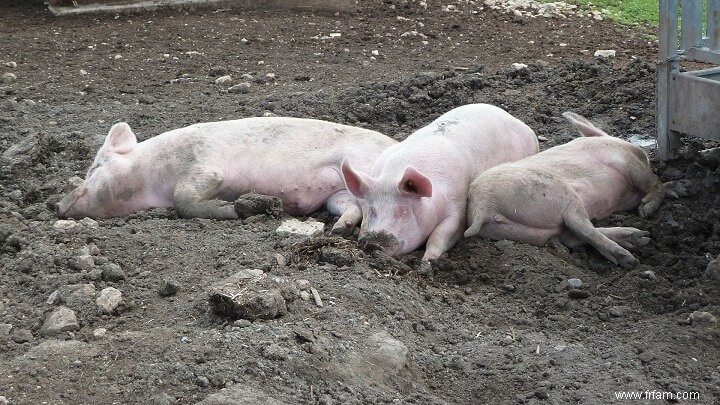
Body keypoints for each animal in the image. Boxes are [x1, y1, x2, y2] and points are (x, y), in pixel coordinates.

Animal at [55, 115, 396, 235]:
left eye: (95, 167)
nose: (56, 205)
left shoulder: (203, 165)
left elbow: (184, 198)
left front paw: (233, 210)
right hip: (338, 195)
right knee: (352, 209)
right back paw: (338, 229)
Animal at [340, 102, 536, 260]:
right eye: (372, 209)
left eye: (403, 211)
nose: (374, 244)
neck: (393, 175)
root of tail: (523, 125)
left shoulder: (457, 206)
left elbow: (440, 234)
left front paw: (427, 261)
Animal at [464, 110, 672, 268]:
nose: (643, 153)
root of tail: (483, 205)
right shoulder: (626, 162)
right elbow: (654, 181)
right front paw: (646, 211)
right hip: (560, 194)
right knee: (581, 227)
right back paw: (630, 258)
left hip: (524, 231)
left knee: (572, 236)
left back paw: (640, 238)